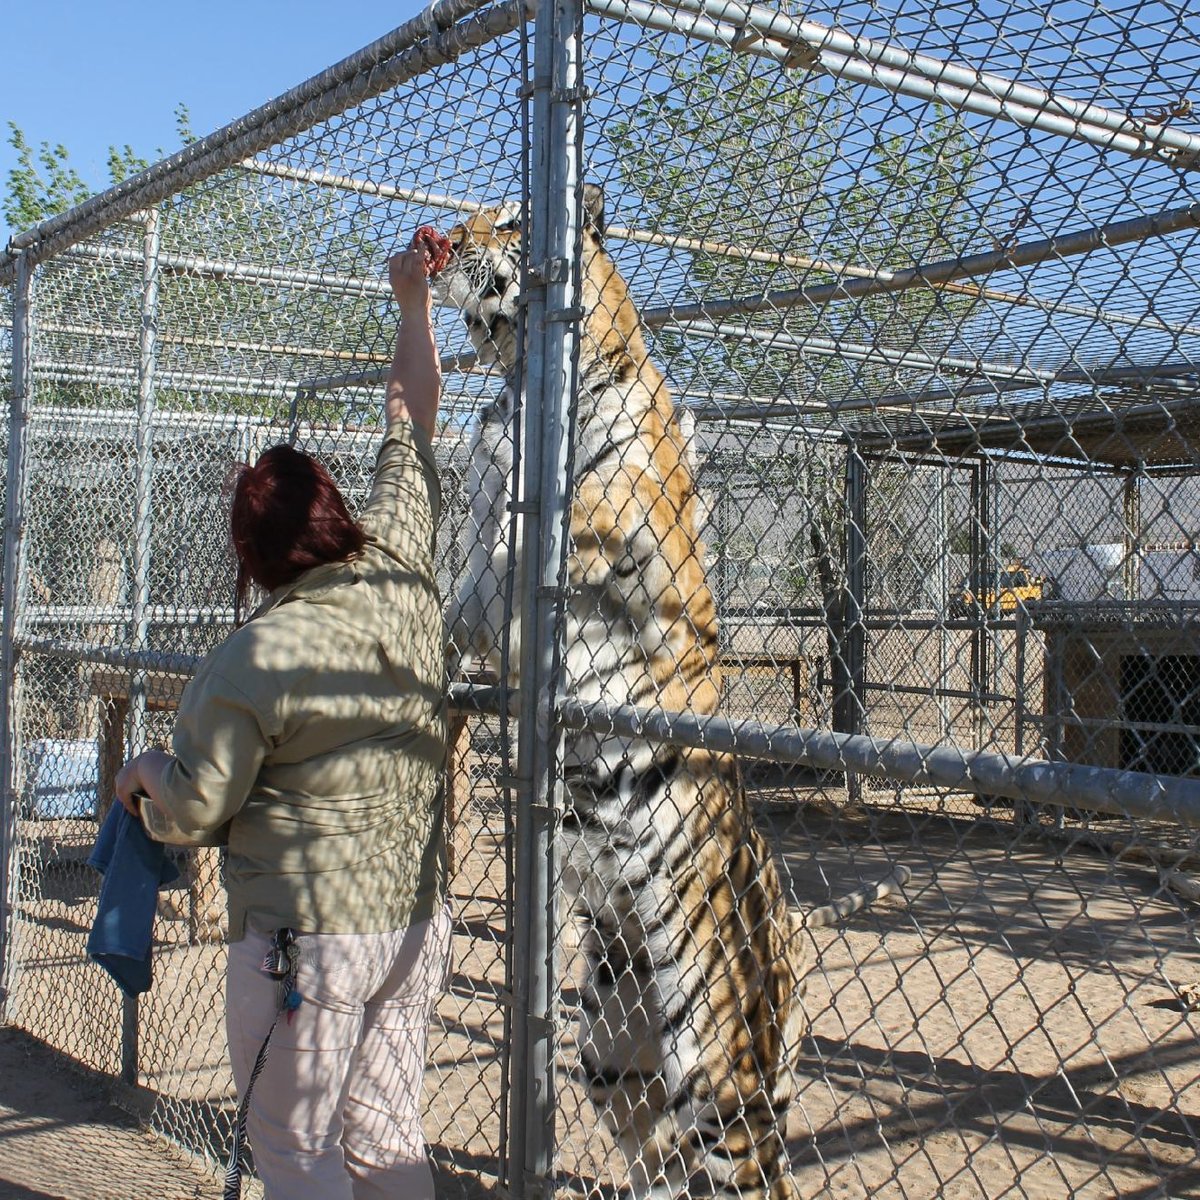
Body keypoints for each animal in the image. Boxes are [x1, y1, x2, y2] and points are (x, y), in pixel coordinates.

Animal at [436, 182, 902, 1195]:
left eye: (506, 222)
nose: (444, 238)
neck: (522, 381)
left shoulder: (635, 527)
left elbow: (575, 512)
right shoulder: (484, 583)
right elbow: (460, 584)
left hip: (724, 1078)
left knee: (757, 1175)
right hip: (616, 1058)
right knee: (663, 1167)